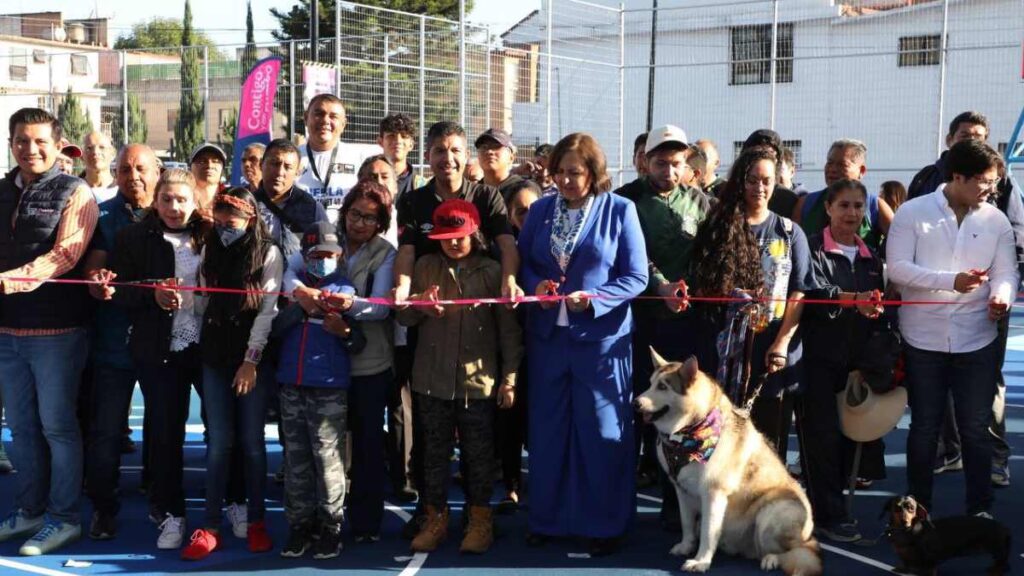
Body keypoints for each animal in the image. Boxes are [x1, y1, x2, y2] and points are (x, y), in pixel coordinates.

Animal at [634, 348, 819, 569]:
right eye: (650, 383)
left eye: (663, 386)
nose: (634, 402)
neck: (689, 433)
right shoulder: (682, 490)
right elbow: (687, 523)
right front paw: (686, 546)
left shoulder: (714, 493)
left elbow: (708, 531)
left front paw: (701, 561)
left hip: (772, 514)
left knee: (803, 551)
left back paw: (772, 559)